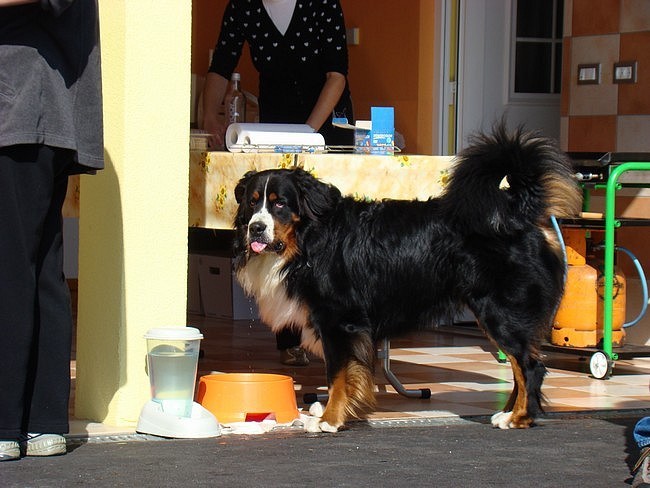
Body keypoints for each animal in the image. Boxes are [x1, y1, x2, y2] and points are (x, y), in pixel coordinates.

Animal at [230, 124, 580, 432]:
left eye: (280, 203)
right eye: (252, 202)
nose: (256, 228)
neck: (308, 240)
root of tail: (517, 213)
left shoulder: (340, 321)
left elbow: (339, 376)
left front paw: (330, 419)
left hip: (501, 311)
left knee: (530, 367)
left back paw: (519, 417)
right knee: (521, 366)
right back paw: (507, 412)